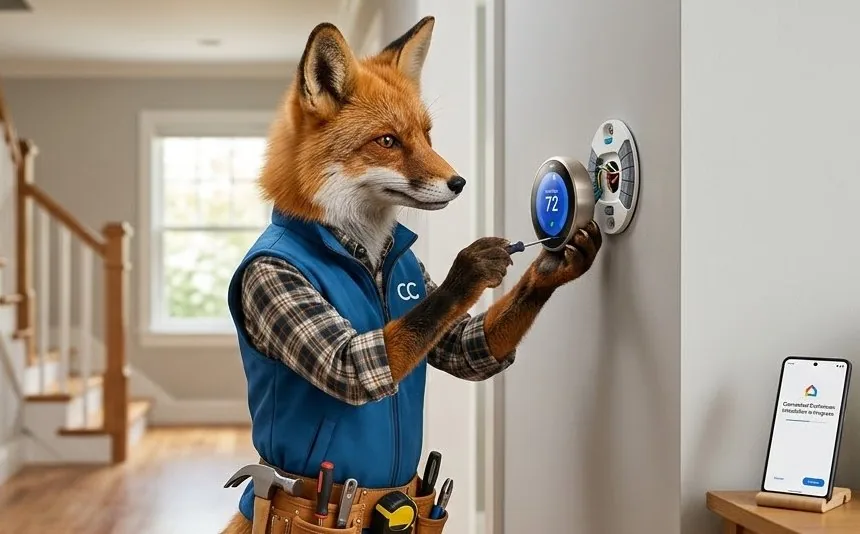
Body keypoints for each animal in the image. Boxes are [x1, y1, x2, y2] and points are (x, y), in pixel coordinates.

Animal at [221, 15, 602, 534]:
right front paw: (475, 262)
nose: (459, 183)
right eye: (387, 141)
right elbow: (358, 359)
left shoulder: (436, 306)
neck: (364, 254)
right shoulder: (278, 285)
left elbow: (464, 344)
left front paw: (548, 267)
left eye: (426, 135)